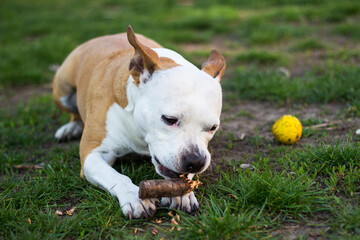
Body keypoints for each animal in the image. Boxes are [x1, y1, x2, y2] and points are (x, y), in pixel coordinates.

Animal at [52, 25, 225, 218]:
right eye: (169, 119)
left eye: (213, 127)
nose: (196, 162)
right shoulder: (92, 154)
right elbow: (118, 176)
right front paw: (134, 196)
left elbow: (180, 178)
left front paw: (182, 194)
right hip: (61, 91)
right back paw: (71, 127)